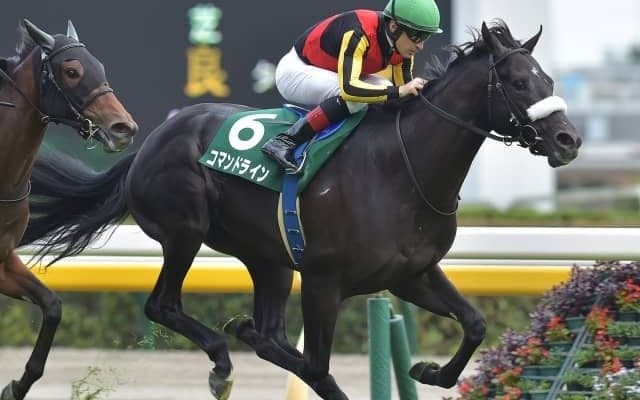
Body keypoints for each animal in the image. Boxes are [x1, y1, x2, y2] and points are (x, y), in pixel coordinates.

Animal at [0, 20, 137, 400]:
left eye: (100, 67)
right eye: (72, 71)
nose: (124, 128)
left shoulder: (4, 259)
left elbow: (52, 307)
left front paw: (16, 385)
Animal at [20, 21, 580, 400]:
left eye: (549, 79)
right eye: (518, 82)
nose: (568, 140)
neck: (402, 168)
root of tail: (151, 140)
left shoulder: (411, 273)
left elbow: (476, 324)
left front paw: (429, 371)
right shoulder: (323, 280)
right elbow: (315, 367)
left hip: (267, 259)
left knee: (267, 333)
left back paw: (240, 335)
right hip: (186, 231)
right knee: (164, 306)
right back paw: (222, 360)